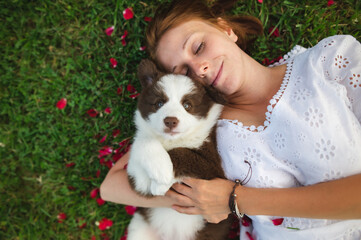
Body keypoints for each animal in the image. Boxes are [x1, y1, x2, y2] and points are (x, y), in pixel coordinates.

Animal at [126, 59, 232, 240]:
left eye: (187, 105)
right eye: (159, 103)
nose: (170, 121)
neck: (171, 141)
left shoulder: (214, 168)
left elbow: (185, 153)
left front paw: (162, 180)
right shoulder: (137, 182)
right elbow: (144, 141)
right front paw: (161, 171)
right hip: (140, 229)